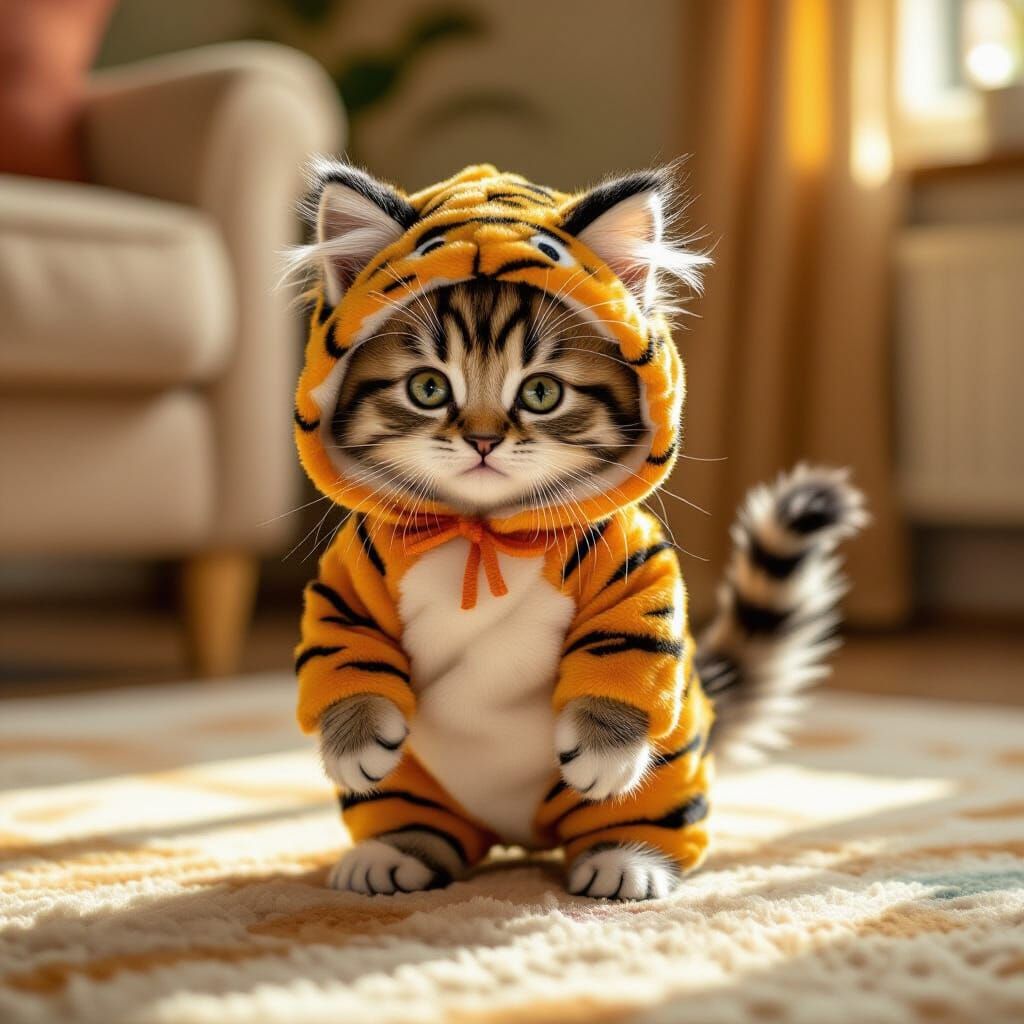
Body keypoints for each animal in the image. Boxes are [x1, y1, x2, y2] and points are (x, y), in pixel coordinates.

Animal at [290, 161, 866, 900]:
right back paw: (393, 852)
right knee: (420, 823)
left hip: (668, 771)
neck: (483, 531)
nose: (482, 440)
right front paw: (354, 740)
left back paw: (628, 859)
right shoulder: (352, 580)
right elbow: (346, 647)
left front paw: (601, 749)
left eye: (541, 393)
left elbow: (624, 650)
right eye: (427, 389)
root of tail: (519, 834)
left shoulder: (632, 571)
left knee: (641, 816)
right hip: (413, 784)